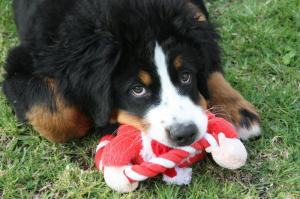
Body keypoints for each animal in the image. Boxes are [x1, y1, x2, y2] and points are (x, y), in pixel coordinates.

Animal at [2, 0, 260, 146]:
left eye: (186, 76)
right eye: (138, 89)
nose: (185, 133)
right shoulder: (22, 62)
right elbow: (58, 117)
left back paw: (237, 110)